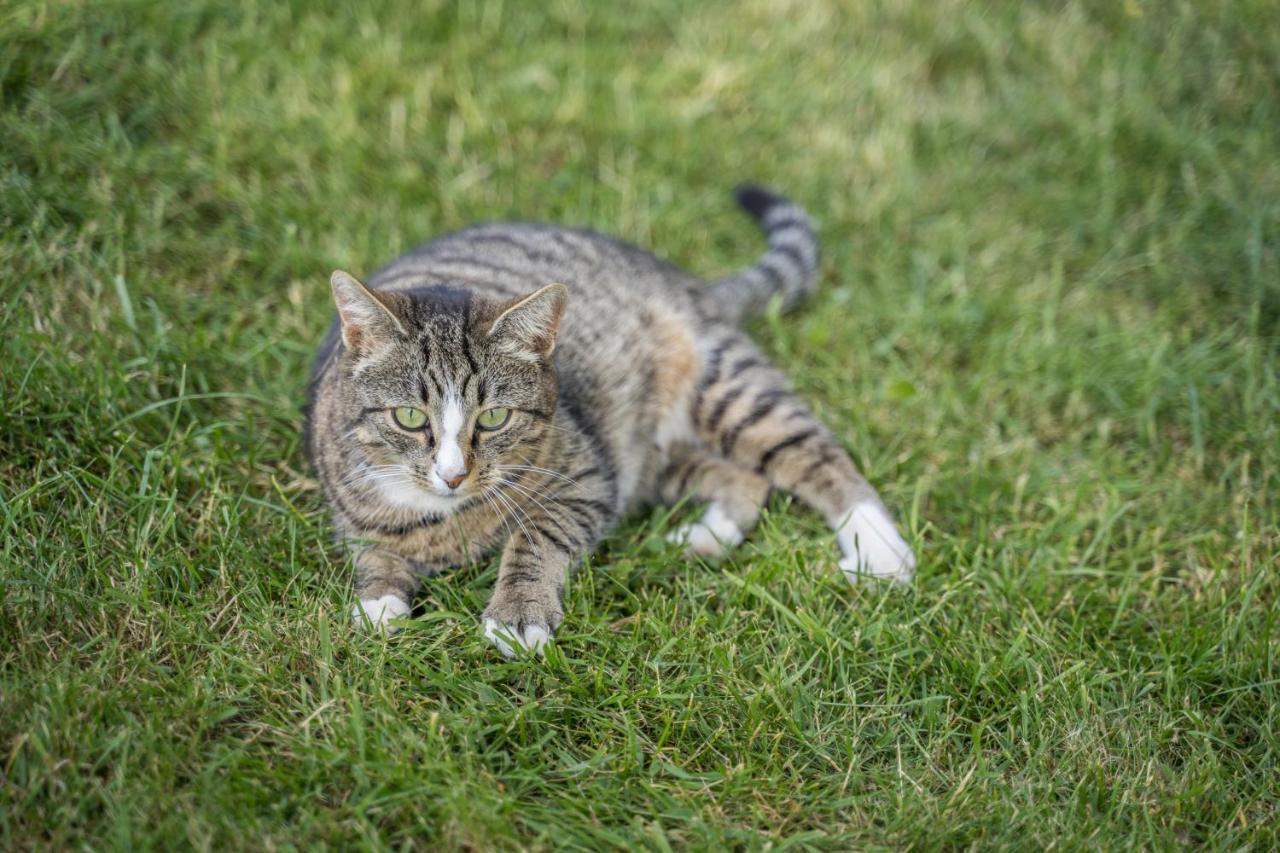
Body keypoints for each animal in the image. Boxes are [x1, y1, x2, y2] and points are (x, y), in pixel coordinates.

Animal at [304, 183, 916, 653]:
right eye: (410, 416)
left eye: (495, 416)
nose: (453, 474)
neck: (446, 517)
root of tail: (685, 279)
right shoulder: (349, 504)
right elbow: (372, 549)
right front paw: (378, 602)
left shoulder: (586, 478)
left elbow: (535, 539)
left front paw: (517, 613)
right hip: (651, 457)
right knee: (748, 480)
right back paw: (701, 535)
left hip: (723, 388)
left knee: (813, 453)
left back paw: (879, 550)